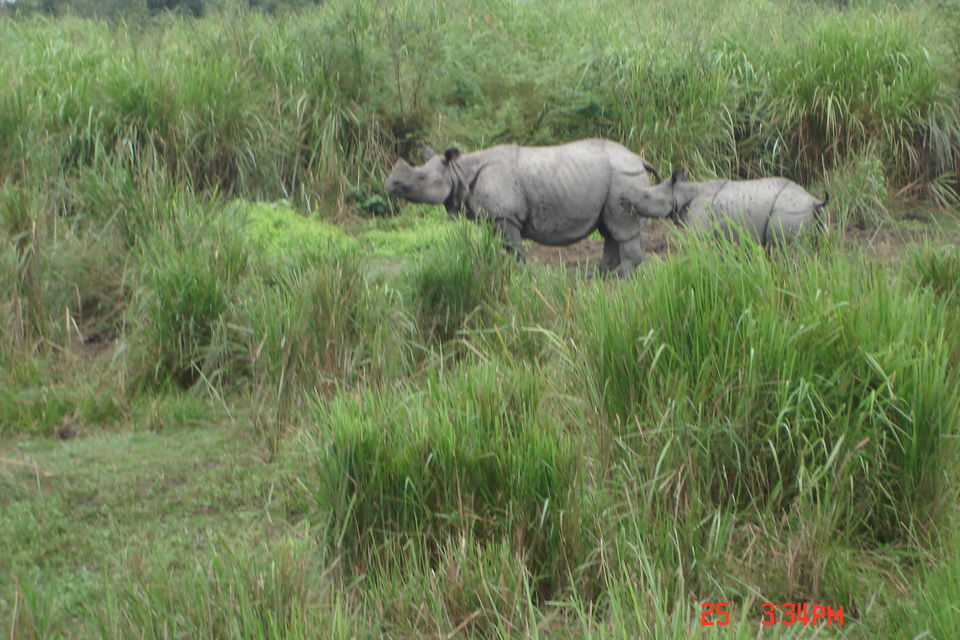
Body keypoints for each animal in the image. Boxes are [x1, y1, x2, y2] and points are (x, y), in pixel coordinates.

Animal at [384, 138, 660, 278]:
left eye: (421, 178)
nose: (389, 184)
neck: (458, 171)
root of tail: (639, 158)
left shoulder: (505, 216)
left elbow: (514, 248)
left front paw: (521, 273)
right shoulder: (494, 217)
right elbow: (502, 246)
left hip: (623, 176)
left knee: (621, 225)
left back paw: (621, 276)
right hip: (614, 177)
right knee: (608, 227)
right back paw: (598, 274)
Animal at [619, 168, 828, 246]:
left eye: (646, 196)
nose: (622, 199)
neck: (684, 191)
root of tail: (813, 200)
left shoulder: (700, 230)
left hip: (790, 209)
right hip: (813, 214)